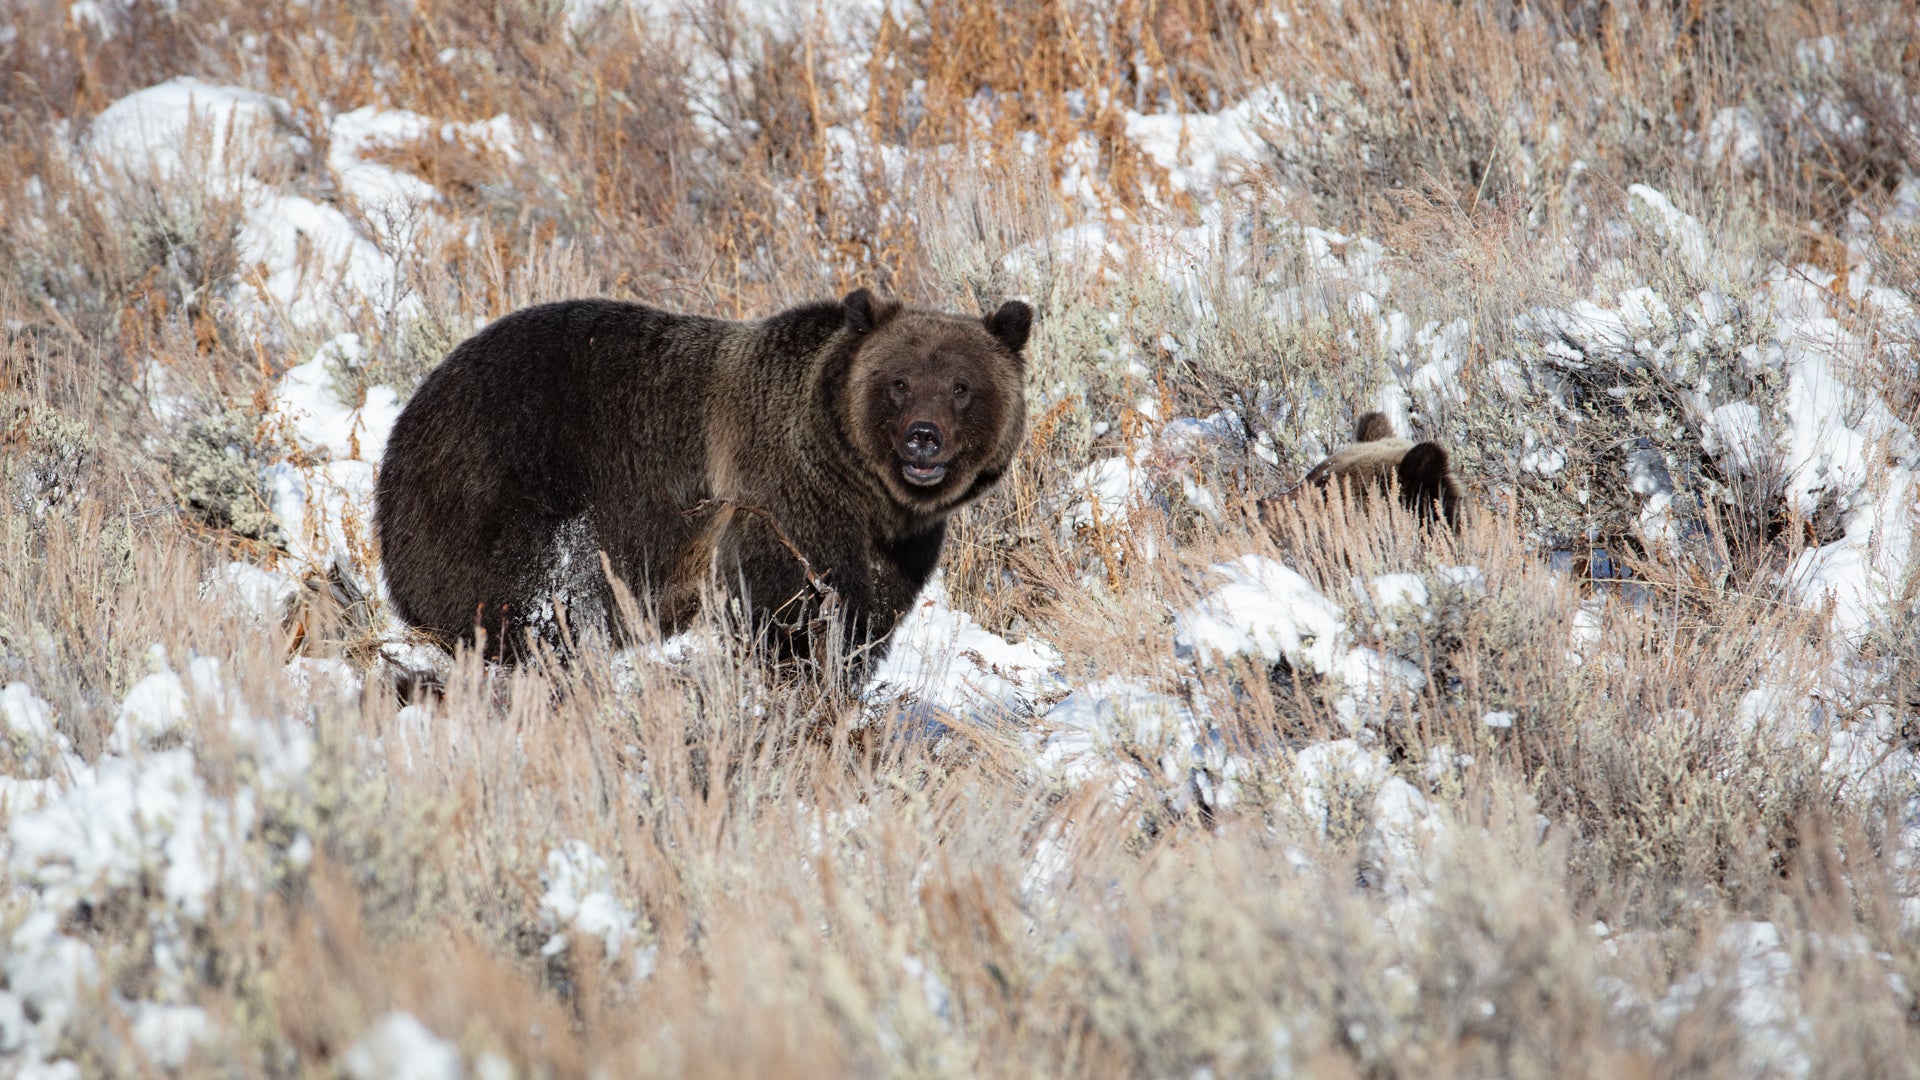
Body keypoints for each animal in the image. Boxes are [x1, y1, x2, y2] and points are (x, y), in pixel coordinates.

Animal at [373, 288, 1032, 676]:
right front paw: (794, 666)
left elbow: (872, 613)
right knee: (540, 584)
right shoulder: (780, 497)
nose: (923, 437)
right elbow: (789, 600)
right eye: (899, 383)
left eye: (961, 386)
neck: (859, 487)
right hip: (503, 478)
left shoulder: (898, 542)